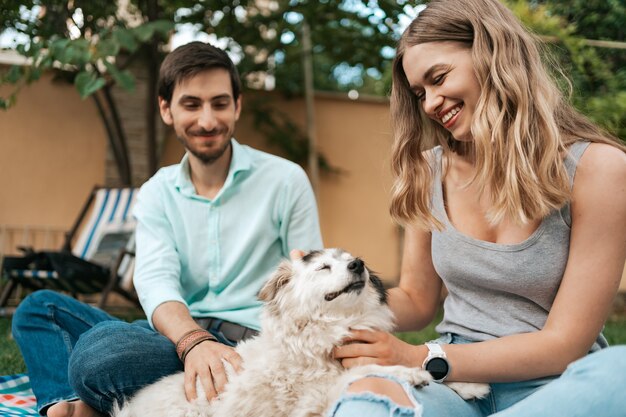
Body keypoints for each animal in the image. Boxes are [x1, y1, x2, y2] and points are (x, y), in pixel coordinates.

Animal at [113, 249, 488, 416]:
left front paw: (469, 384)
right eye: (323, 267)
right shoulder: (309, 403)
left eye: (353, 260)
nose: (358, 265)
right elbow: (365, 371)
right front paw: (410, 374)